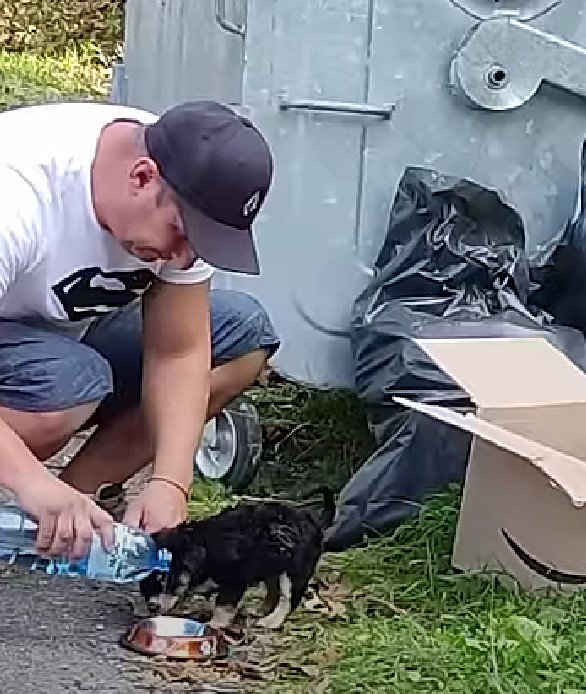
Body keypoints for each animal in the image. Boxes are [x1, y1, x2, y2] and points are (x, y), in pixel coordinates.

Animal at [139, 490, 336, 632]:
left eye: (163, 578)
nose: (152, 607)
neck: (204, 548)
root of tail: (315, 521)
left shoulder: (234, 579)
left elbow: (223, 605)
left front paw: (214, 624)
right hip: (272, 566)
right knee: (273, 590)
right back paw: (259, 611)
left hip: (294, 571)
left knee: (288, 599)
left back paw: (271, 621)